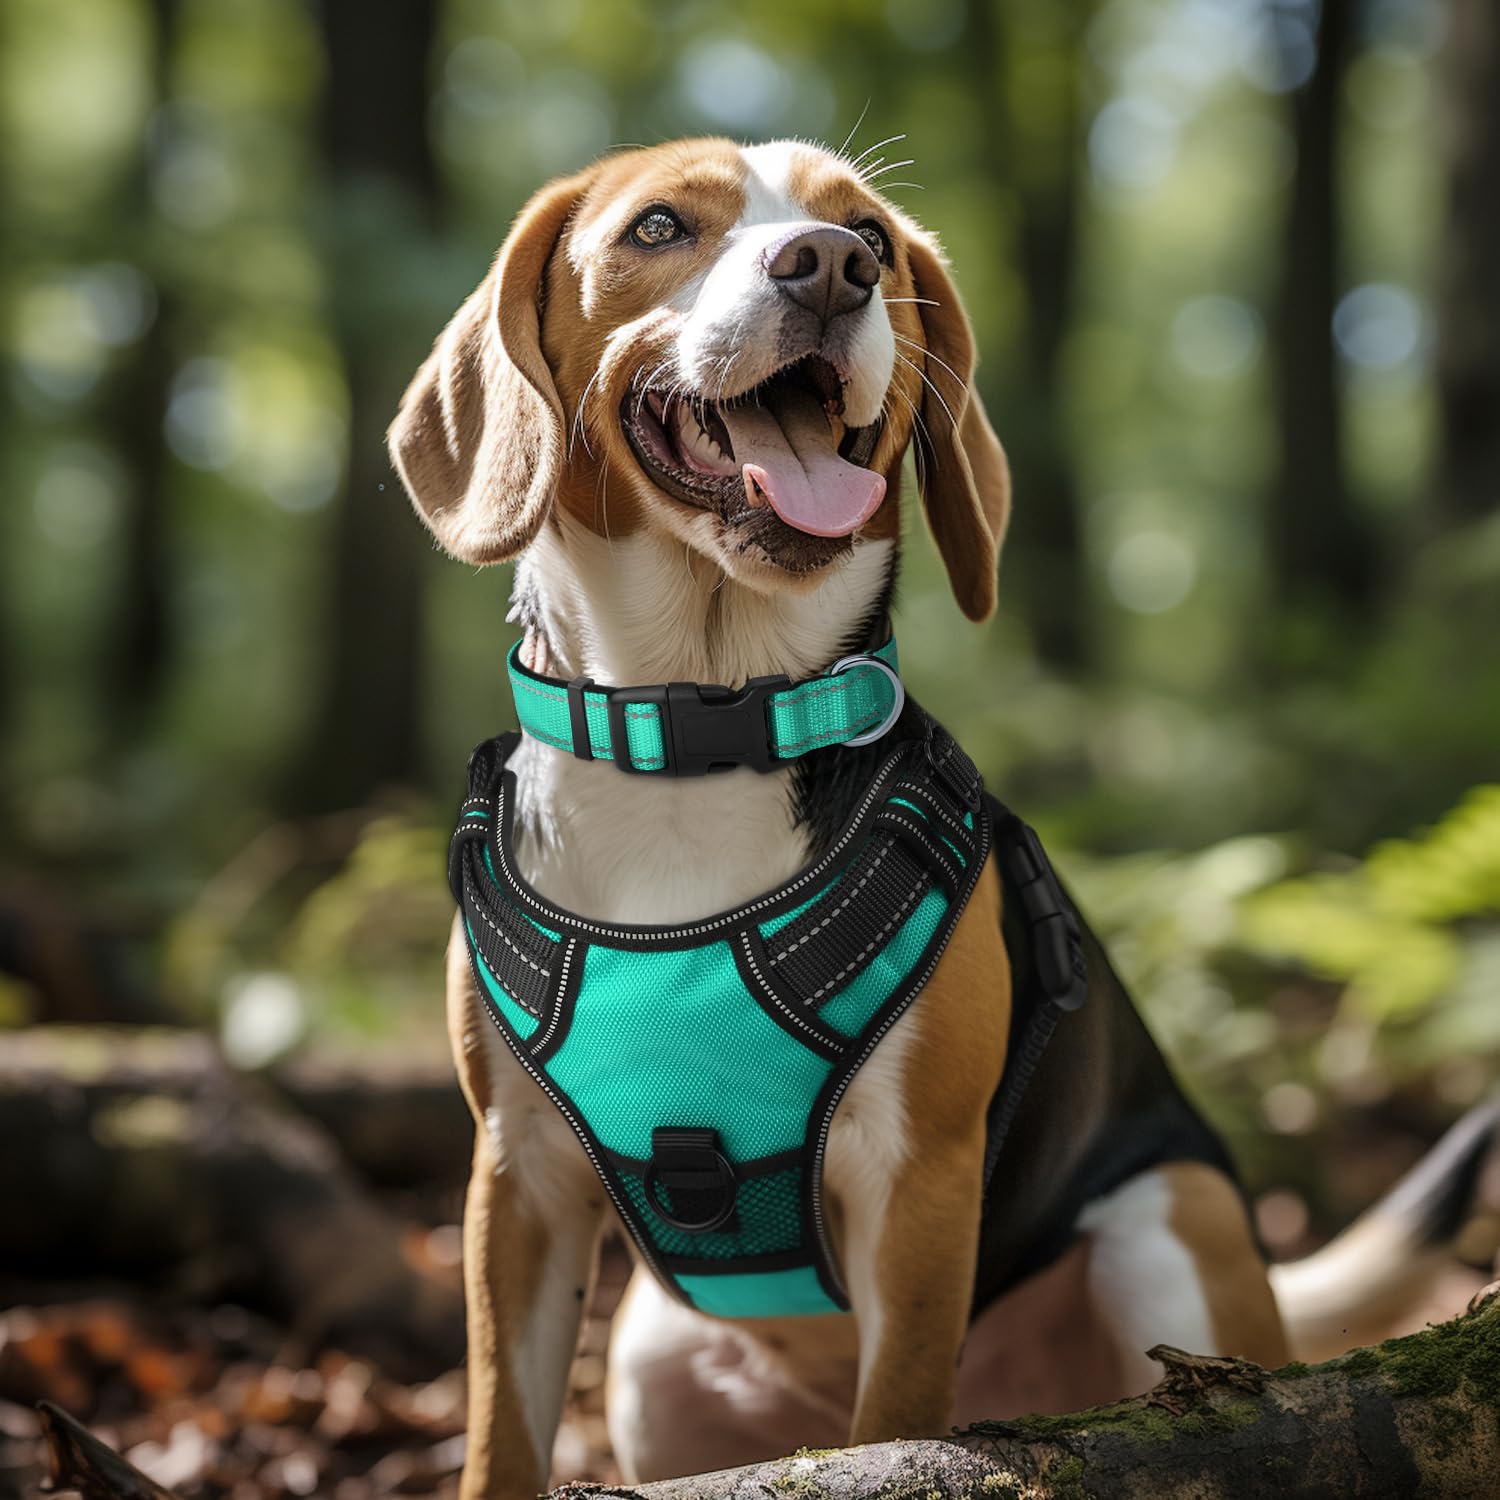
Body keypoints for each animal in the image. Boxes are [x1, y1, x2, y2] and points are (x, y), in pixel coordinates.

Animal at [387, 141, 1488, 1500]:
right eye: (657, 227)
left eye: (868, 233)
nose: (829, 266)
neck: (707, 724)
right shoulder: (517, 1186)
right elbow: (501, 1433)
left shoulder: (917, 1182)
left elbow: (894, 1415)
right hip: (649, 1363)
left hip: (1168, 1226)